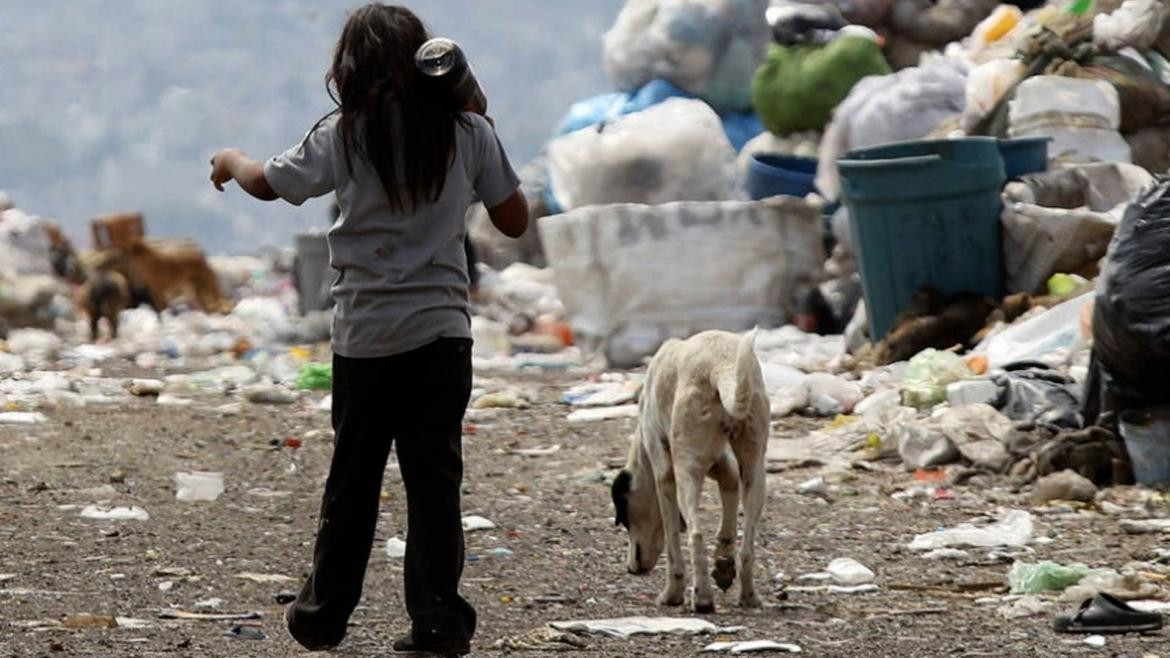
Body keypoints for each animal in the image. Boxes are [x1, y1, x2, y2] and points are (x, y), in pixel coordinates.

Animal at [613, 327, 767, 608]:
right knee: (747, 547)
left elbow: (673, 539)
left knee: (696, 535)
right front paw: (724, 565)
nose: (631, 569)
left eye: (625, 519)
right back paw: (748, 596)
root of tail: (721, 366)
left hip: (687, 473)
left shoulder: (664, 476)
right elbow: (728, 515)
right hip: (755, 470)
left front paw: (672, 593)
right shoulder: (724, 466)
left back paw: (702, 597)